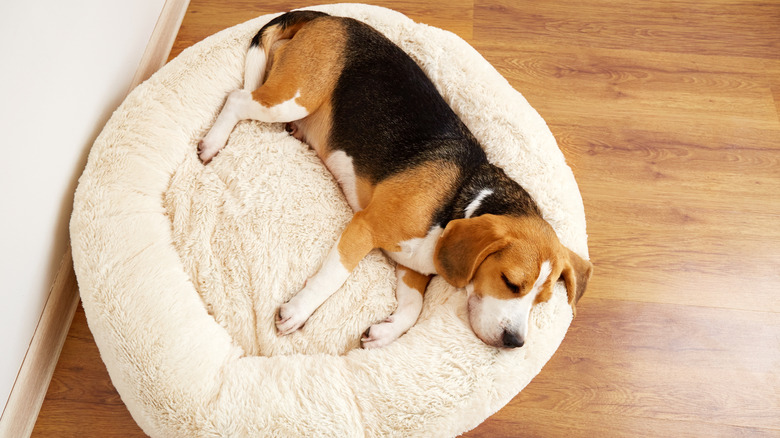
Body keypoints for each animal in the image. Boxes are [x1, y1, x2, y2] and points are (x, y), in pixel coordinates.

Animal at [200, 11, 592, 350]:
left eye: (541, 301)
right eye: (511, 283)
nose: (515, 343)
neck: (461, 203)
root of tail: (331, 17)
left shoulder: (412, 266)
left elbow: (413, 309)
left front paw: (385, 333)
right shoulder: (364, 227)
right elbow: (334, 276)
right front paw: (298, 310)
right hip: (294, 97)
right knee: (236, 99)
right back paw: (213, 142)